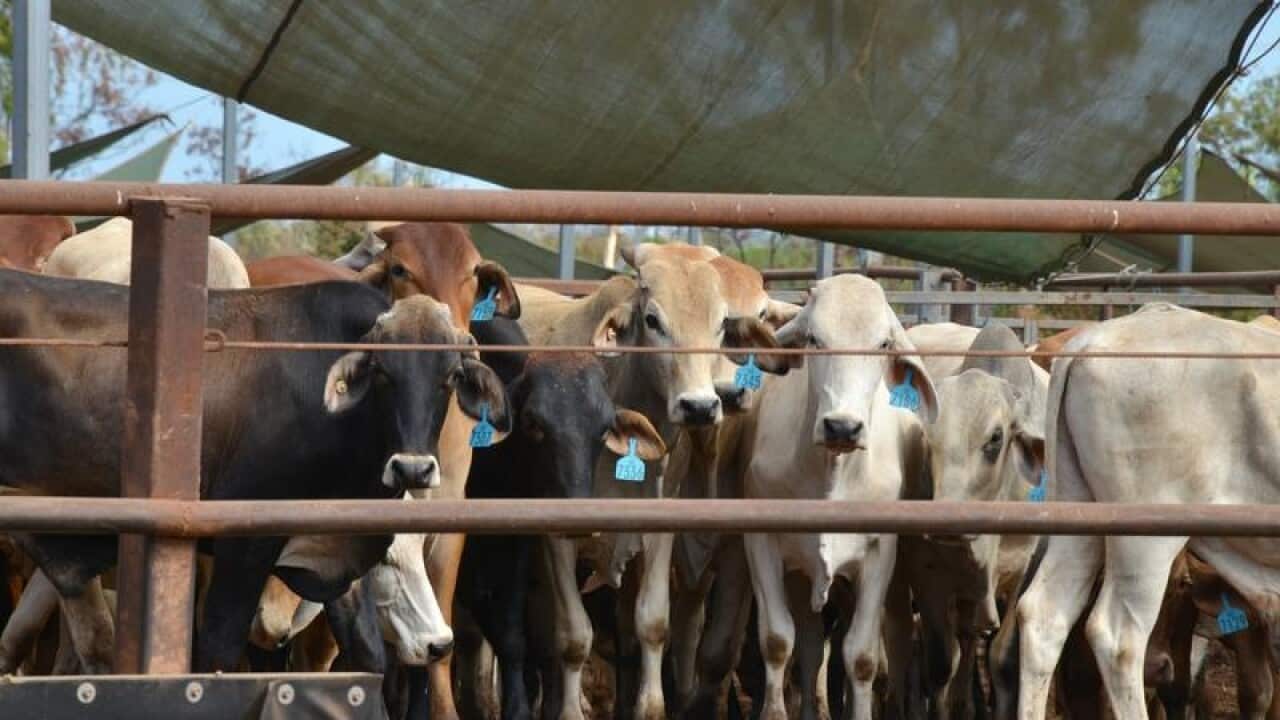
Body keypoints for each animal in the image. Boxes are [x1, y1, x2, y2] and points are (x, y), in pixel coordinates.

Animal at [0, 270, 507, 673]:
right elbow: (220, 650)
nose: (413, 469)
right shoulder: (244, 544)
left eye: (451, 376)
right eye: (382, 372)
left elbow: (365, 651)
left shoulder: (337, 545)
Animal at [516, 250, 787, 720]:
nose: (701, 405)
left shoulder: (664, 533)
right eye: (653, 320)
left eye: (721, 324)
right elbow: (573, 636)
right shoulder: (556, 536)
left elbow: (654, 623)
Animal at [741, 274, 936, 720]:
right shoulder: (761, 544)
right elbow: (778, 640)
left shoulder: (881, 553)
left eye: (883, 343)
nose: (842, 427)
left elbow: (861, 657)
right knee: (811, 645)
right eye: (814, 338)